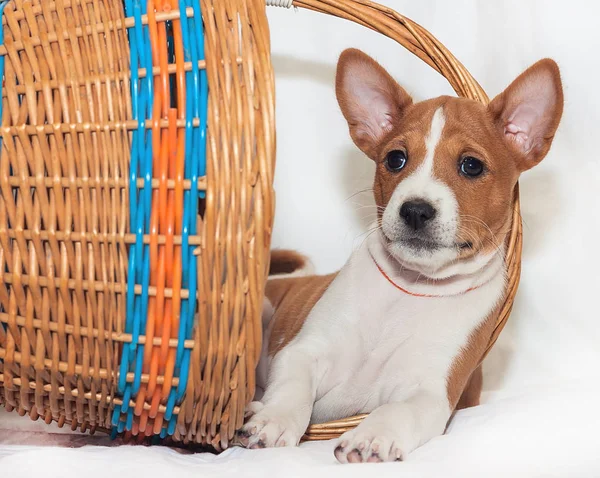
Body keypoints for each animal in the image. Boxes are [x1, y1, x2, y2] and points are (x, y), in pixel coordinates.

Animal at [238, 49, 564, 464]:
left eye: (471, 165)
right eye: (396, 159)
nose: (416, 210)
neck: (411, 291)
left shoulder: (430, 391)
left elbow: (398, 411)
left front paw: (371, 435)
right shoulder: (303, 352)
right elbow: (291, 390)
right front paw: (273, 419)